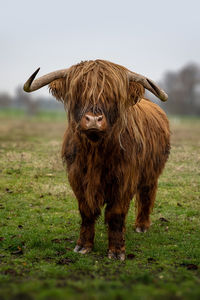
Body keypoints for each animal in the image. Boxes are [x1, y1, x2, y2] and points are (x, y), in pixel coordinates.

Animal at [23, 59, 170, 260]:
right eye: (78, 91)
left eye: (113, 95)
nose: (93, 120)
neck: (95, 151)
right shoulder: (77, 177)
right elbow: (87, 211)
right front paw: (83, 246)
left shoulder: (124, 179)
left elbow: (116, 213)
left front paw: (116, 251)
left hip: (151, 172)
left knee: (147, 193)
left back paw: (142, 226)